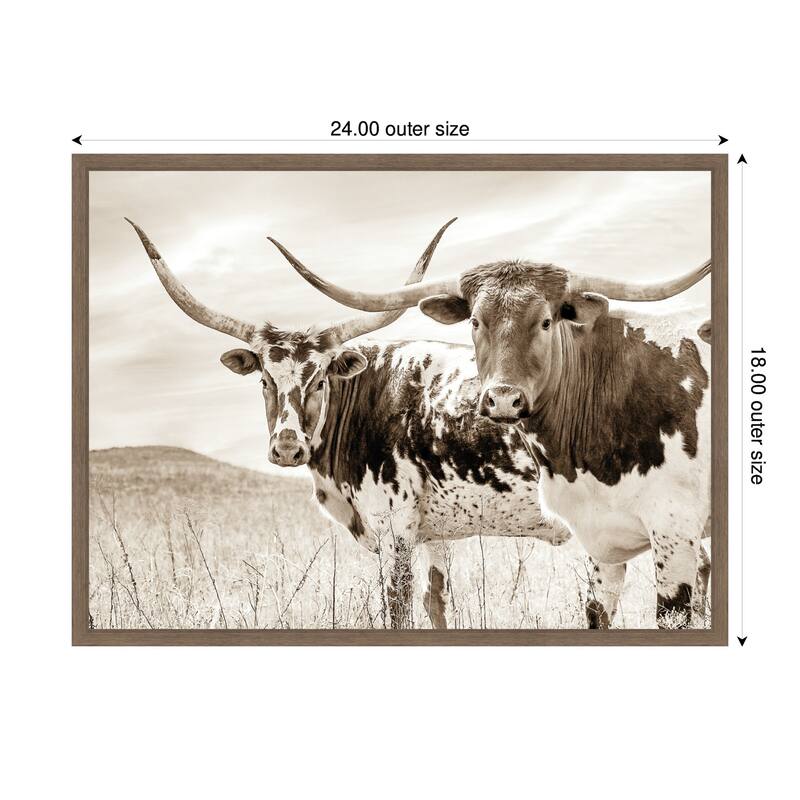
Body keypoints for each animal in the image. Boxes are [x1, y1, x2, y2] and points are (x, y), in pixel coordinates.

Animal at [127, 218, 593, 631]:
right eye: (264, 380)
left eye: (320, 380)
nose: (287, 447)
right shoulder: (435, 535)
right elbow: (438, 604)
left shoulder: (395, 529)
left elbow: (400, 609)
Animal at [270, 236, 713, 629]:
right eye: (475, 321)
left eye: (546, 321)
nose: (502, 400)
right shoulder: (598, 541)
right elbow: (436, 599)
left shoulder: (674, 533)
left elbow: (400, 605)